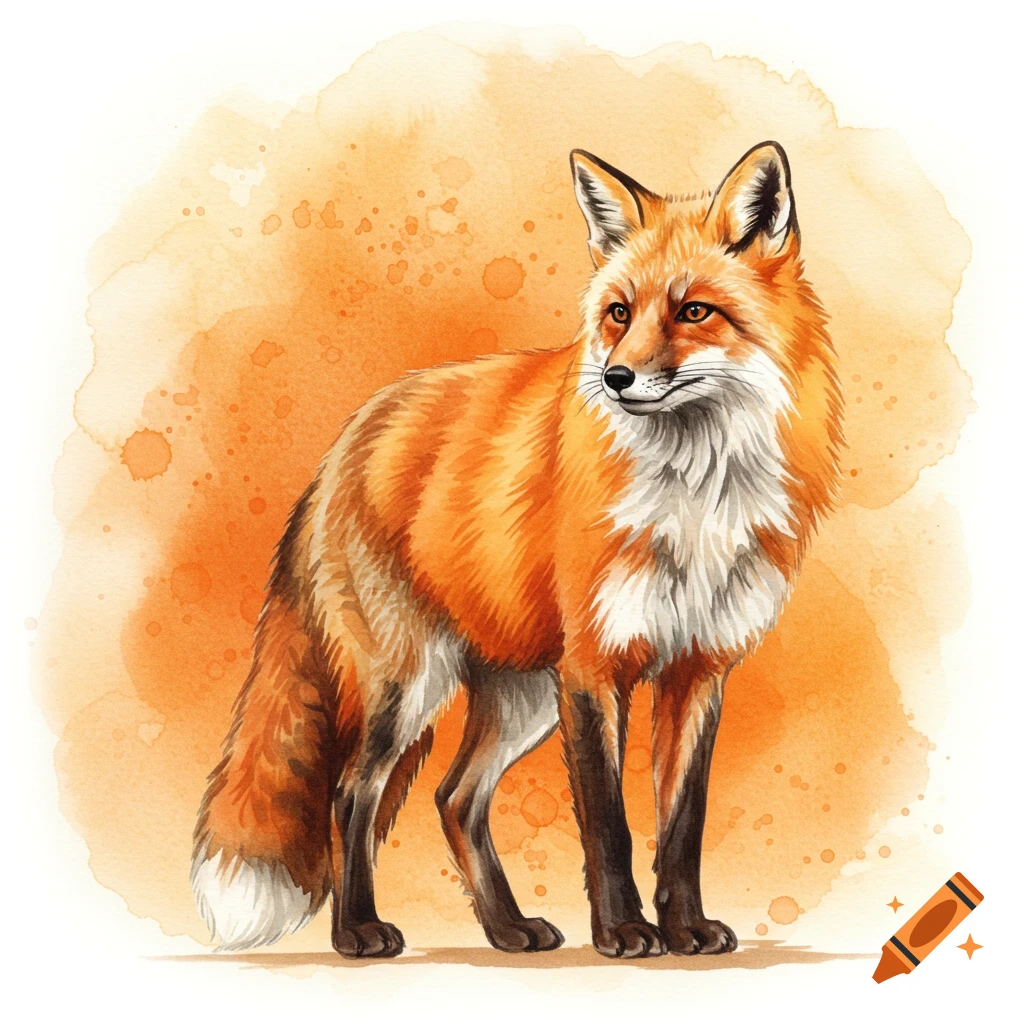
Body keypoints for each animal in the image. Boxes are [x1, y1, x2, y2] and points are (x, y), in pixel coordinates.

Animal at [192, 141, 842, 959]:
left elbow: (681, 826)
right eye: (619, 312)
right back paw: (357, 931)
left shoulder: (698, 669)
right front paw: (624, 931)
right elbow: (609, 826)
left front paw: (685, 928)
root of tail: (351, 434)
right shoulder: (594, 667)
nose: (615, 377)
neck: (696, 495)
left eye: (694, 310)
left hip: (523, 696)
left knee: (454, 796)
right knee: (351, 795)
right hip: (410, 685)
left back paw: (506, 928)